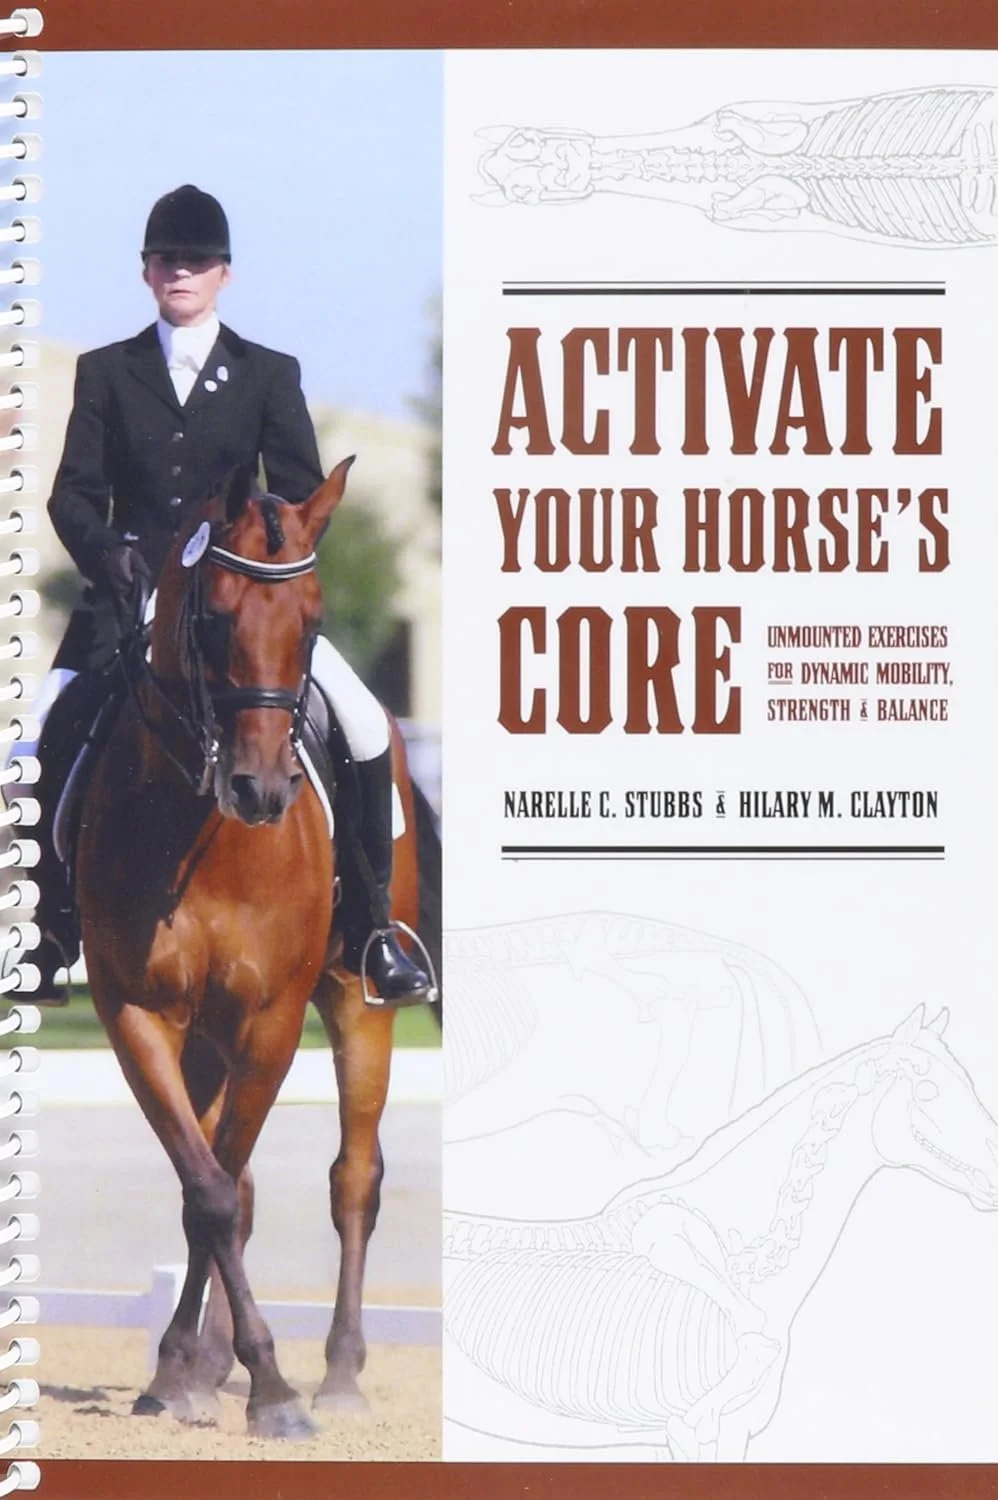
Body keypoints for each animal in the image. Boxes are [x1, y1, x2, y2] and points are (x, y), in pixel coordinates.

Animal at [75, 458, 432, 1437]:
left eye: (312, 621)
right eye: (214, 620)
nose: (262, 791)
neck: (200, 829)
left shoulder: (272, 1018)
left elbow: (226, 1188)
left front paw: (272, 1387)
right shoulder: (135, 1013)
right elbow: (210, 1192)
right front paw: (193, 1371)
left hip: (356, 1000)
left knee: (355, 1178)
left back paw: (341, 1374)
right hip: (202, 1035)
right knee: (225, 1175)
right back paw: (200, 1365)